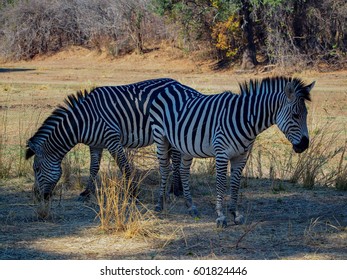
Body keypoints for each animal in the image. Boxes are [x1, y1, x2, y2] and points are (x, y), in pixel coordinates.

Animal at [24, 79, 194, 201]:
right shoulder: (95, 145)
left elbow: (124, 166)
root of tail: (180, 84)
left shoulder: (112, 139)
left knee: (176, 159)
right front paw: (87, 192)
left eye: (36, 169)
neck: (83, 121)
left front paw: (133, 192)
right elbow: (93, 168)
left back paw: (175, 190)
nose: (37, 197)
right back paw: (176, 188)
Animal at [150, 76, 316, 228]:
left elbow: (235, 184)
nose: (304, 145)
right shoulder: (222, 154)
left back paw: (191, 206)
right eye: (295, 115)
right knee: (164, 169)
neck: (246, 119)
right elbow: (221, 184)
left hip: (184, 145)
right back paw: (159, 204)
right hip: (161, 138)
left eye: (307, 114)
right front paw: (221, 216)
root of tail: (168, 86)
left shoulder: (241, 156)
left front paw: (235, 214)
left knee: (183, 171)